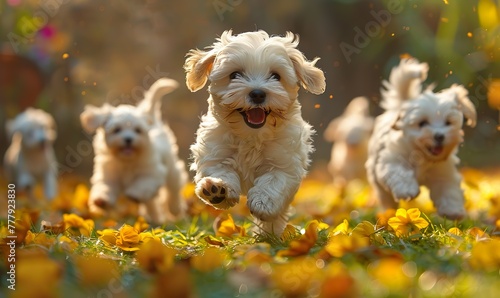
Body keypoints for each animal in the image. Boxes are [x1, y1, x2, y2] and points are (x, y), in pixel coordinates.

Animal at [82, 78, 188, 222]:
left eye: (137, 130)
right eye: (117, 130)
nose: (128, 139)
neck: (127, 161)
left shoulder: (152, 173)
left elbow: (142, 184)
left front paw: (134, 194)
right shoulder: (109, 175)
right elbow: (105, 187)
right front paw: (101, 200)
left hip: (171, 169)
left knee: (173, 189)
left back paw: (174, 209)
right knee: (151, 202)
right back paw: (154, 217)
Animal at [183, 30, 324, 235]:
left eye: (275, 76)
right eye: (235, 74)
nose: (257, 93)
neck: (251, 135)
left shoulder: (285, 163)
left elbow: (273, 181)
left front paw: (263, 202)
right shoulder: (215, 153)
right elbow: (221, 170)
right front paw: (217, 188)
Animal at [368, 58, 476, 219]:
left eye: (448, 122)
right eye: (422, 123)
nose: (439, 136)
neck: (422, 155)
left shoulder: (443, 171)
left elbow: (448, 188)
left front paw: (453, 209)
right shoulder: (390, 161)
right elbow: (400, 173)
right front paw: (407, 190)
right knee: (385, 196)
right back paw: (389, 212)